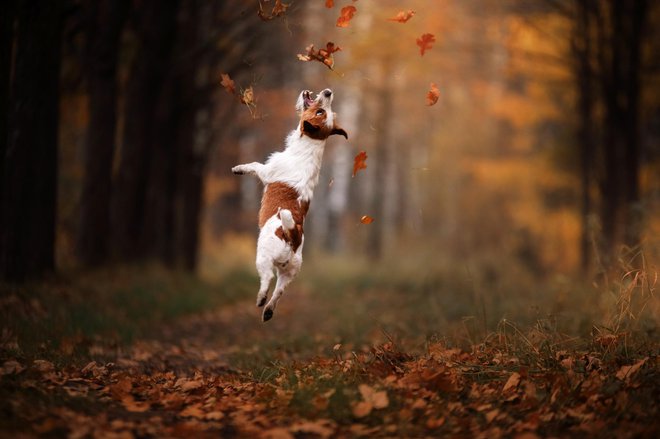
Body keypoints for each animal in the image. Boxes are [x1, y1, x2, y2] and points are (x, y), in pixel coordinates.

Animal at [232, 89, 348, 324]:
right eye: (325, 112)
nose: (328, 92)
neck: (310, 144)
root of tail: (292, 236)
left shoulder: (266, 172)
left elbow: (254, 165)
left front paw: (239, 168)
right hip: (290, 272)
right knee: (278, 292)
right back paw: (268, 310)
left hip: (263, 256)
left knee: (267, 278)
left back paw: (261, 299)